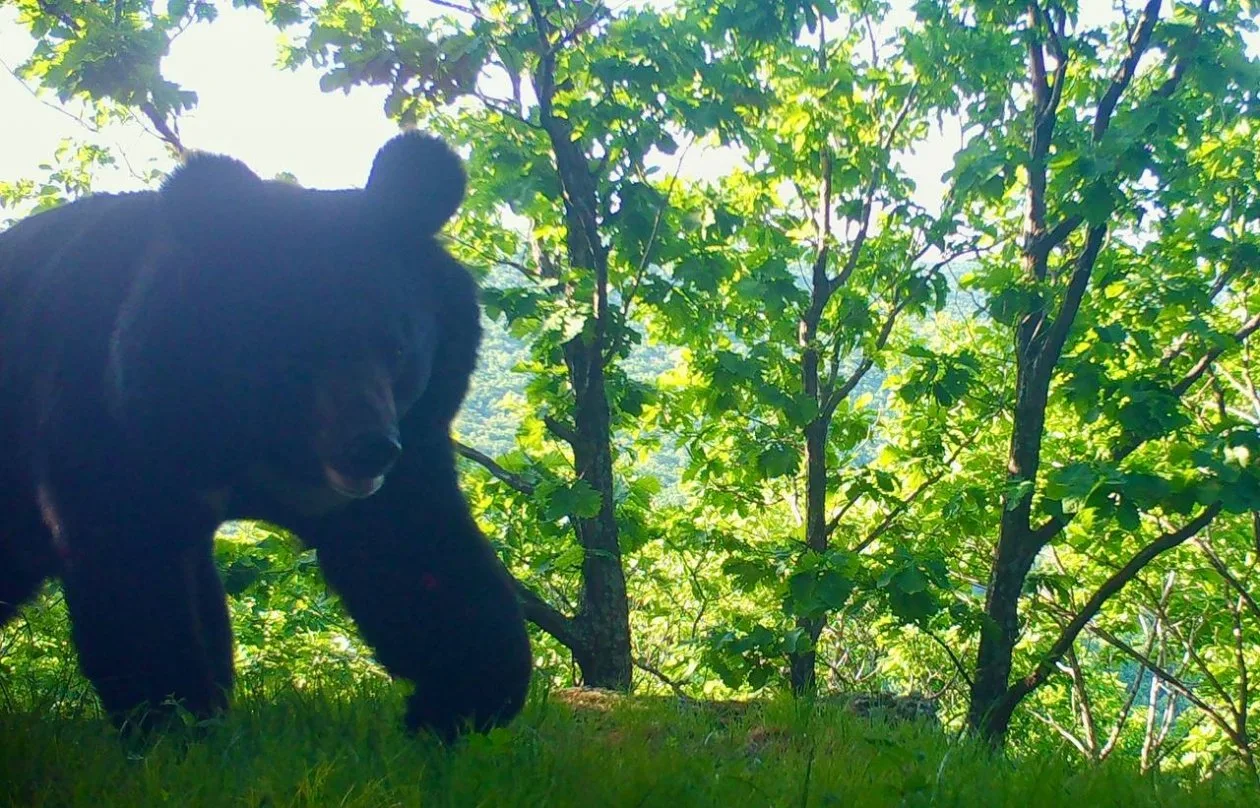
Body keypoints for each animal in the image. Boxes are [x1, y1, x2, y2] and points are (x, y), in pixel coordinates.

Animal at [0, 132, 532, 741]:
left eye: (397, 347)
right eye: (295, 350)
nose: (369, 447)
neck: (256, 440)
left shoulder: (408, 441)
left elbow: (417, 553)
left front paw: (454, 702)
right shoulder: (107, 416)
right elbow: (130, 562)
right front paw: (173, 718)